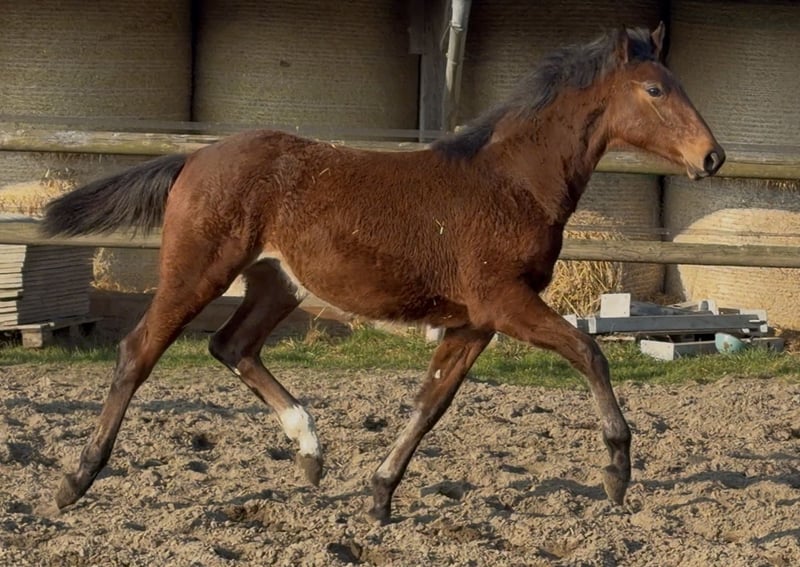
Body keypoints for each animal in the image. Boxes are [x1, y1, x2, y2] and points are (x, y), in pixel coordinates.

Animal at [43, 23, 724, 522]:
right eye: (655, 91)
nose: (712, 156)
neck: (511, 182)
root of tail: (193, 159)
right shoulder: (505, 302)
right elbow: (591, 353)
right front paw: (616, 472)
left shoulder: (474, 322)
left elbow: (431, 402)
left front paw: (379, 493)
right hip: (198, 271)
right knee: (139, 350)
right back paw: (76, 479)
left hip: (278, 283)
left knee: (231, 345)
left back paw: (311, 452)